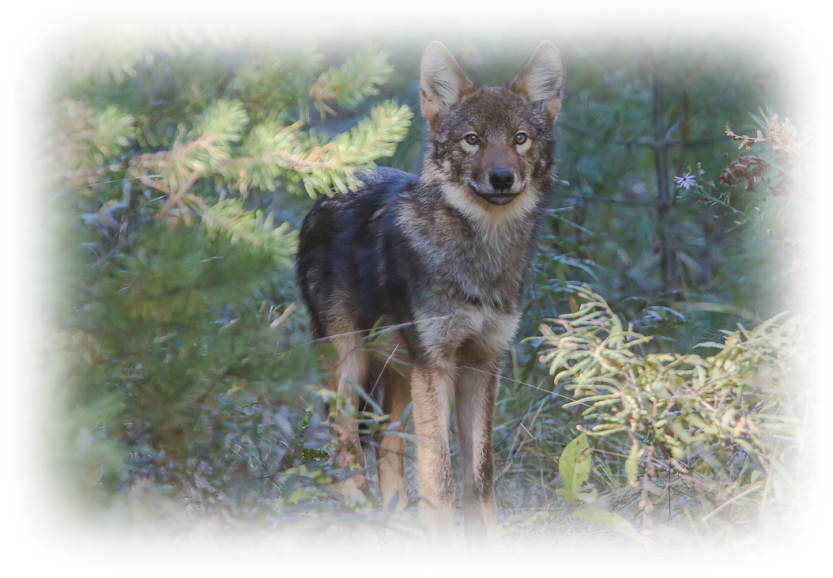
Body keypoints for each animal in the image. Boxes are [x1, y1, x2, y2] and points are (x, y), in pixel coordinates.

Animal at [296, 40, 563, 561]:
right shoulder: (436, 365)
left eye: (519, 138)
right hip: (352, 365)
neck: (480, 256)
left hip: (399, 371)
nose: (502, 177)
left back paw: (402, 539)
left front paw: (487, 555)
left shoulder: (481, 363)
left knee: (385, 441)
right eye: (472, 140)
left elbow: (479, 477)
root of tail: (328, 190)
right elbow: (438, 476)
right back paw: (366, 538)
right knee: (346, 443)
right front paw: (442, 556)